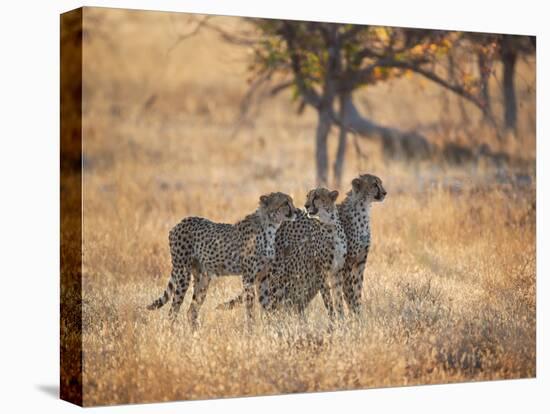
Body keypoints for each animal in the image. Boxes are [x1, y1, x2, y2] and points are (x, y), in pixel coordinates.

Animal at [148, 192, 298, 328]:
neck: (270, 226)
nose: (296, 211)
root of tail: (180, 222)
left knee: (191, 311)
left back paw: (197, 334)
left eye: (291, 201)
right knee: (173, 310)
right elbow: (250, 307)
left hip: (203, 279)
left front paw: (271, 327)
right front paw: (251, 330)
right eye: (285, 203)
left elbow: (266, 304)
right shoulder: (248, 277)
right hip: (183, 274)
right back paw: (172, 332)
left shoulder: (263, 277)